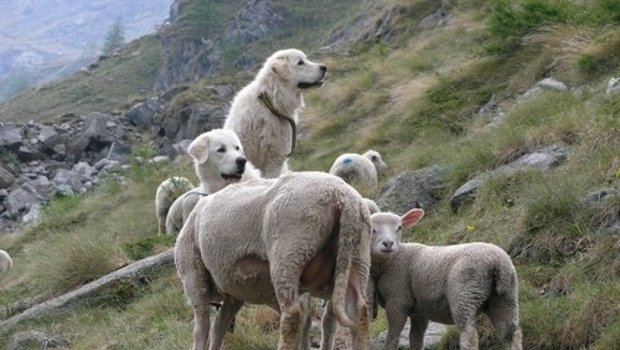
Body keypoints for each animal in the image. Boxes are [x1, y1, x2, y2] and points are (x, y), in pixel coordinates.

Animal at [172, 171, 370, 348]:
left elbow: (202, 329)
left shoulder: (193, 275)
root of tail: (342, 197)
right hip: (357, 257)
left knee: (292, 315)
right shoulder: (237, 293)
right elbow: (219, 326)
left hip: (289, 254)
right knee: (358, 310)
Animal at [368, 209, 524, 348]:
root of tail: (496, 262)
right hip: (506, 296)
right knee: (511, 334)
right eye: (372, 229)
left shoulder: (398, 300)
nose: (388, 244)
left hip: (465, 295)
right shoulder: (419, 311)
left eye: (399, 227)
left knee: (470, 336)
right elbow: (416, 339)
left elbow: (392, 338)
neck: (391, 260)